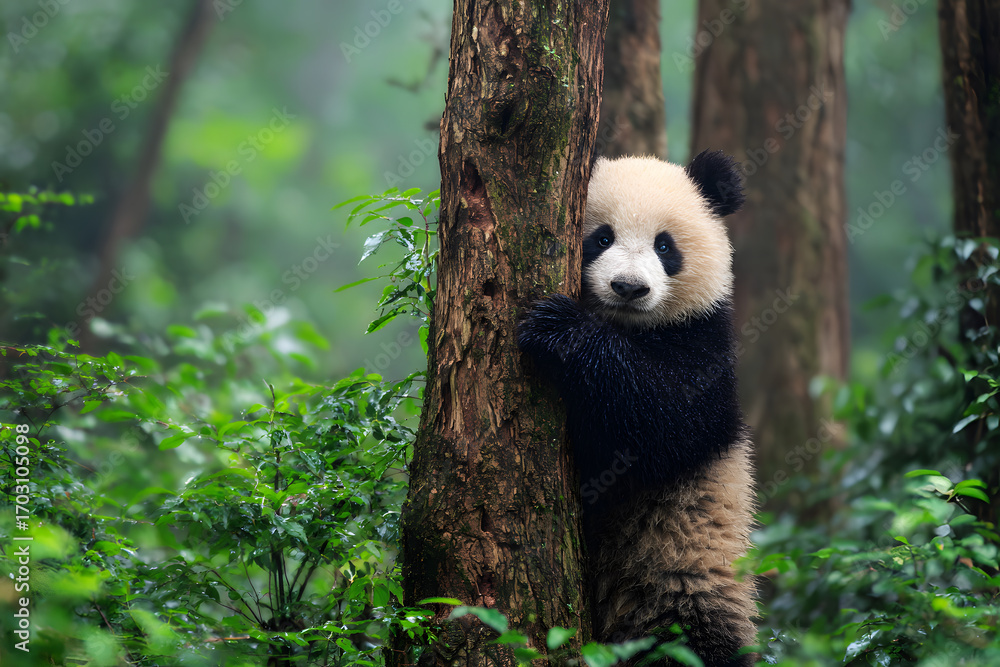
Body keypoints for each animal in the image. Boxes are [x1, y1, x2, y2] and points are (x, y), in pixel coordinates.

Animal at [518, 151, 757, 666]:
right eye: (602, 237)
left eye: (665, 246)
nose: (628, 288)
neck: (626, 327)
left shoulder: (705, 348)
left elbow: (659, 420)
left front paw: (560, 330)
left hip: (681, 576)